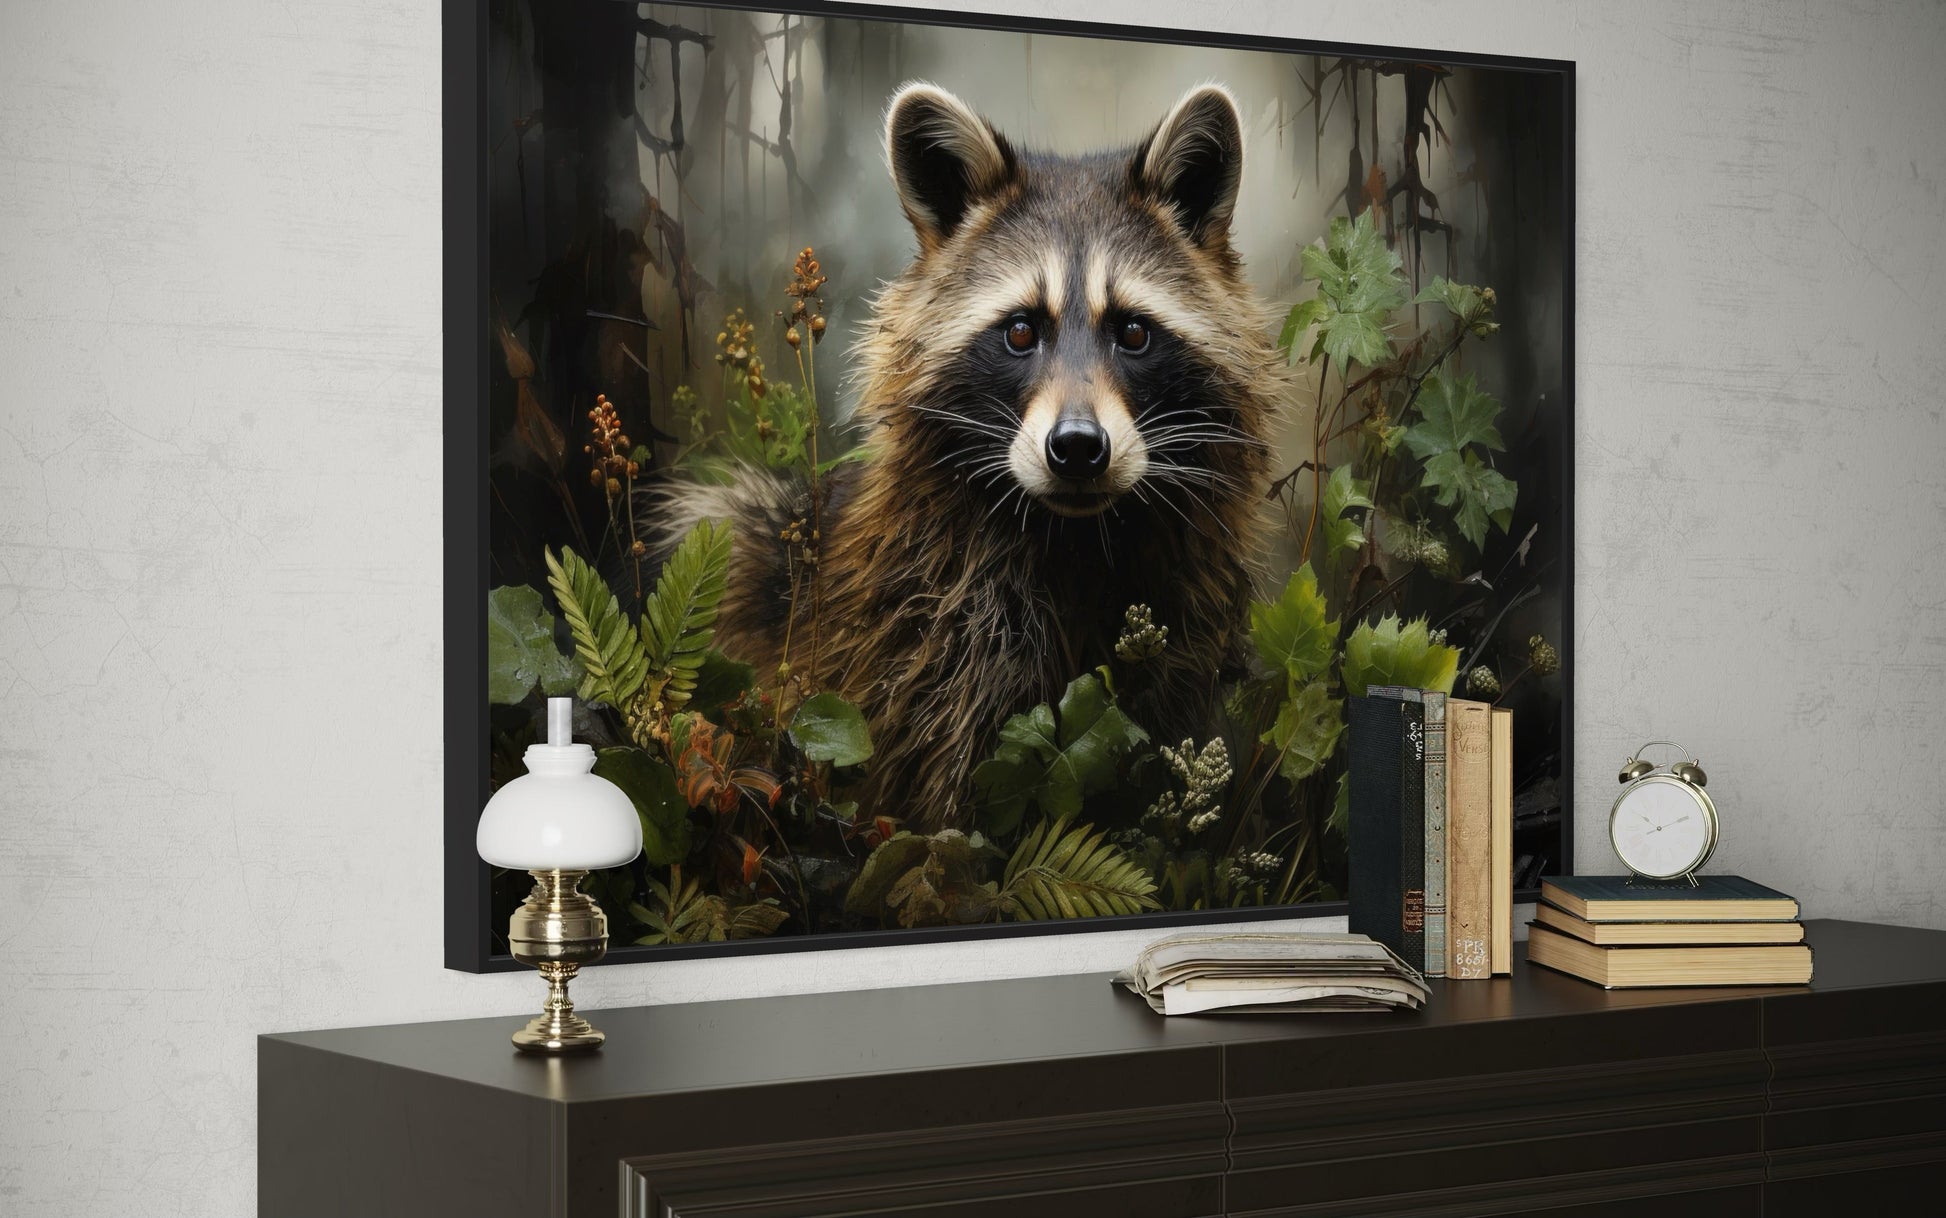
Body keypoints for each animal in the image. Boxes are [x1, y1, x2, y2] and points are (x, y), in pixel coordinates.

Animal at [669, 82, 1287, 830]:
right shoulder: (936, 632)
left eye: (1134, 332)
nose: (1077, 449)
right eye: (1020, 330)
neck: (1079, 541)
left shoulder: (1181, 626)